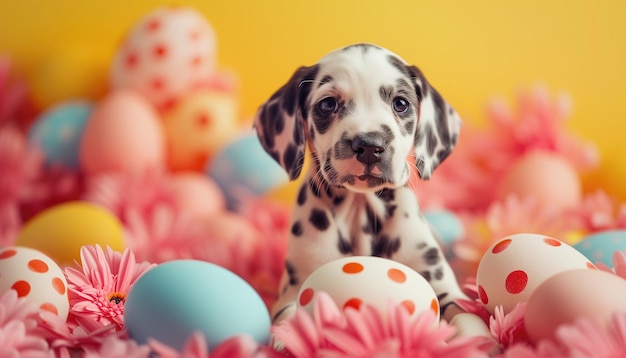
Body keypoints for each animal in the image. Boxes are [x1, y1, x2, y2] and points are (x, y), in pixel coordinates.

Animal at [254, 43, 488, 338]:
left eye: (401, 104)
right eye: (328, 104)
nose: (368, 146)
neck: (359, 209)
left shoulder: (446, 290)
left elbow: (468, 318)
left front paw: (479, 340)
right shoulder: (292, 294)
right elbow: (290, 321)